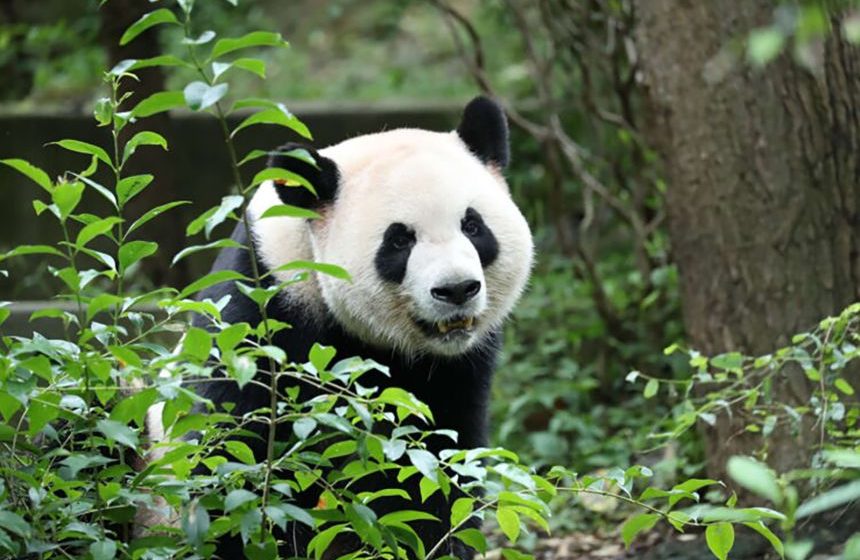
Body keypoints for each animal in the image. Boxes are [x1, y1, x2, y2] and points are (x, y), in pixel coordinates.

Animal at [151, 96, 534, 558]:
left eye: (473, 226)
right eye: (400, 240)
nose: (457, 289)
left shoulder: (456, 369)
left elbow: (435, 465)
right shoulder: (261, 310)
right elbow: (230, 452)